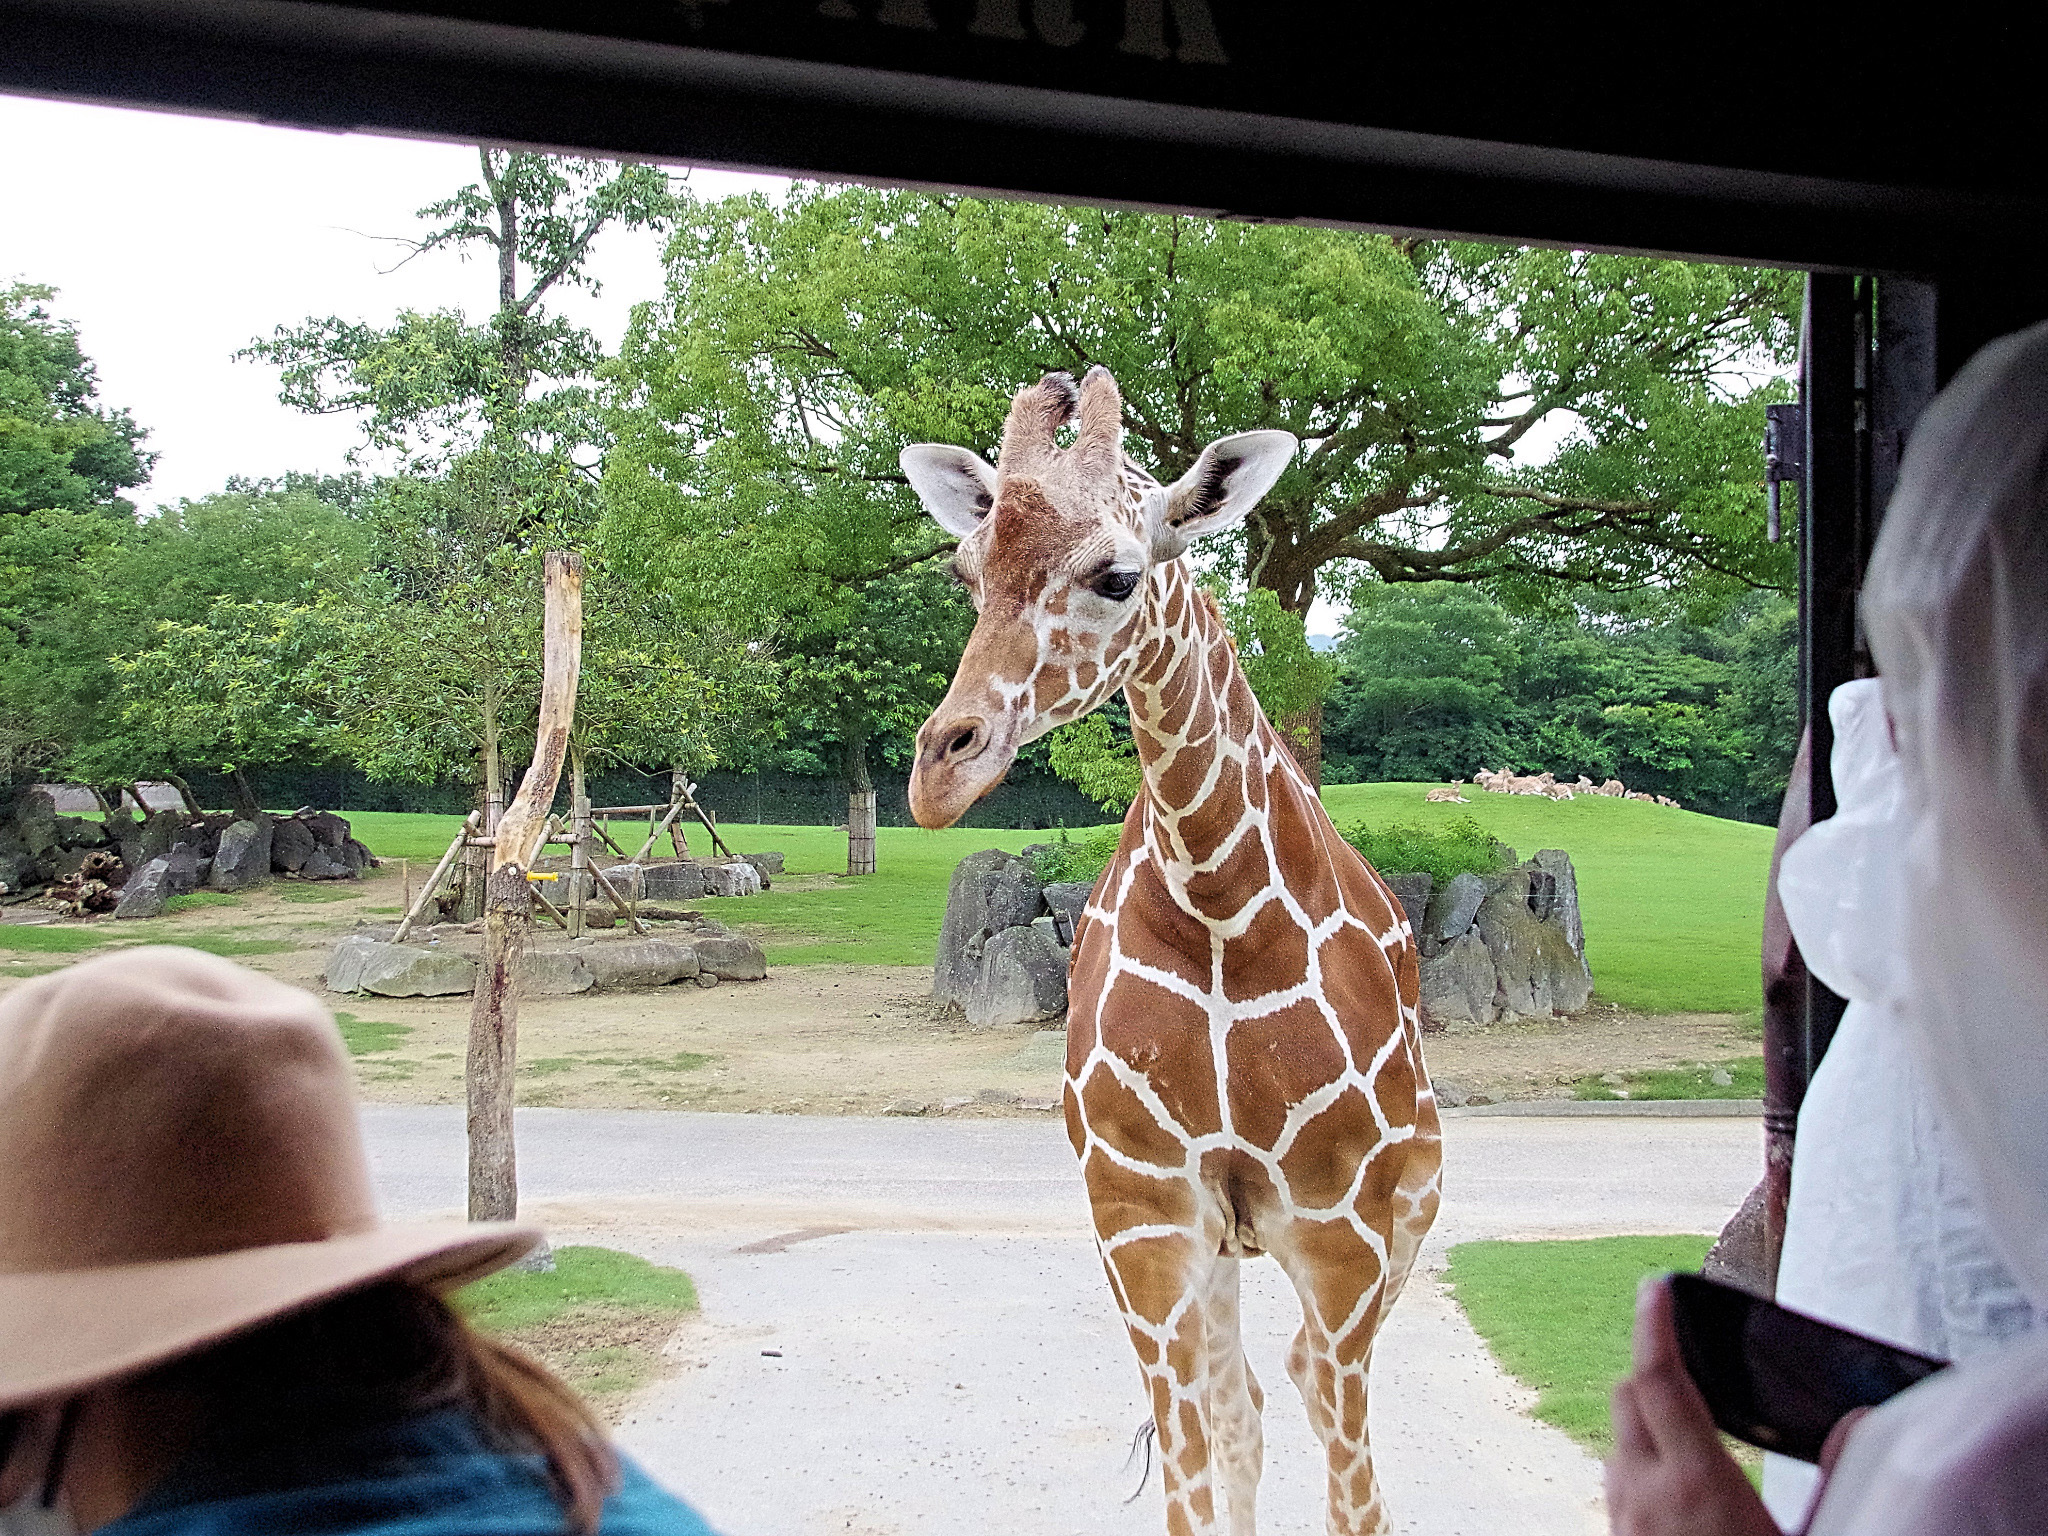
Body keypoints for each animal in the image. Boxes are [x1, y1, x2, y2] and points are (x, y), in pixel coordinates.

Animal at [905, 366, 1449, 1531]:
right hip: (1220, 1244)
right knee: (1244, 1401)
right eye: (965, 572)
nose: (939, 771)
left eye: (1117, 576)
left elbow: (1353, 1491)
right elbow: (1199, 1467)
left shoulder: (1341, 1225)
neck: (1221, 908)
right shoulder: (1140, 1212)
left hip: (1401, 1212)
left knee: (1296, 1383)